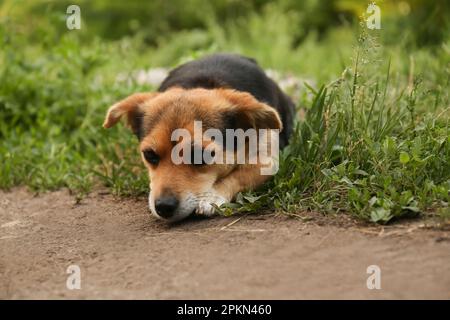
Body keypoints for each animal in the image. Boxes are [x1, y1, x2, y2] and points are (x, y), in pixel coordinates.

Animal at [103, 53, 298, 222]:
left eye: (200, 155)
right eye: (149, 155)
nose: (163, 207)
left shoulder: (268, 160)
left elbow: (239, 175)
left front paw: (213, 196)